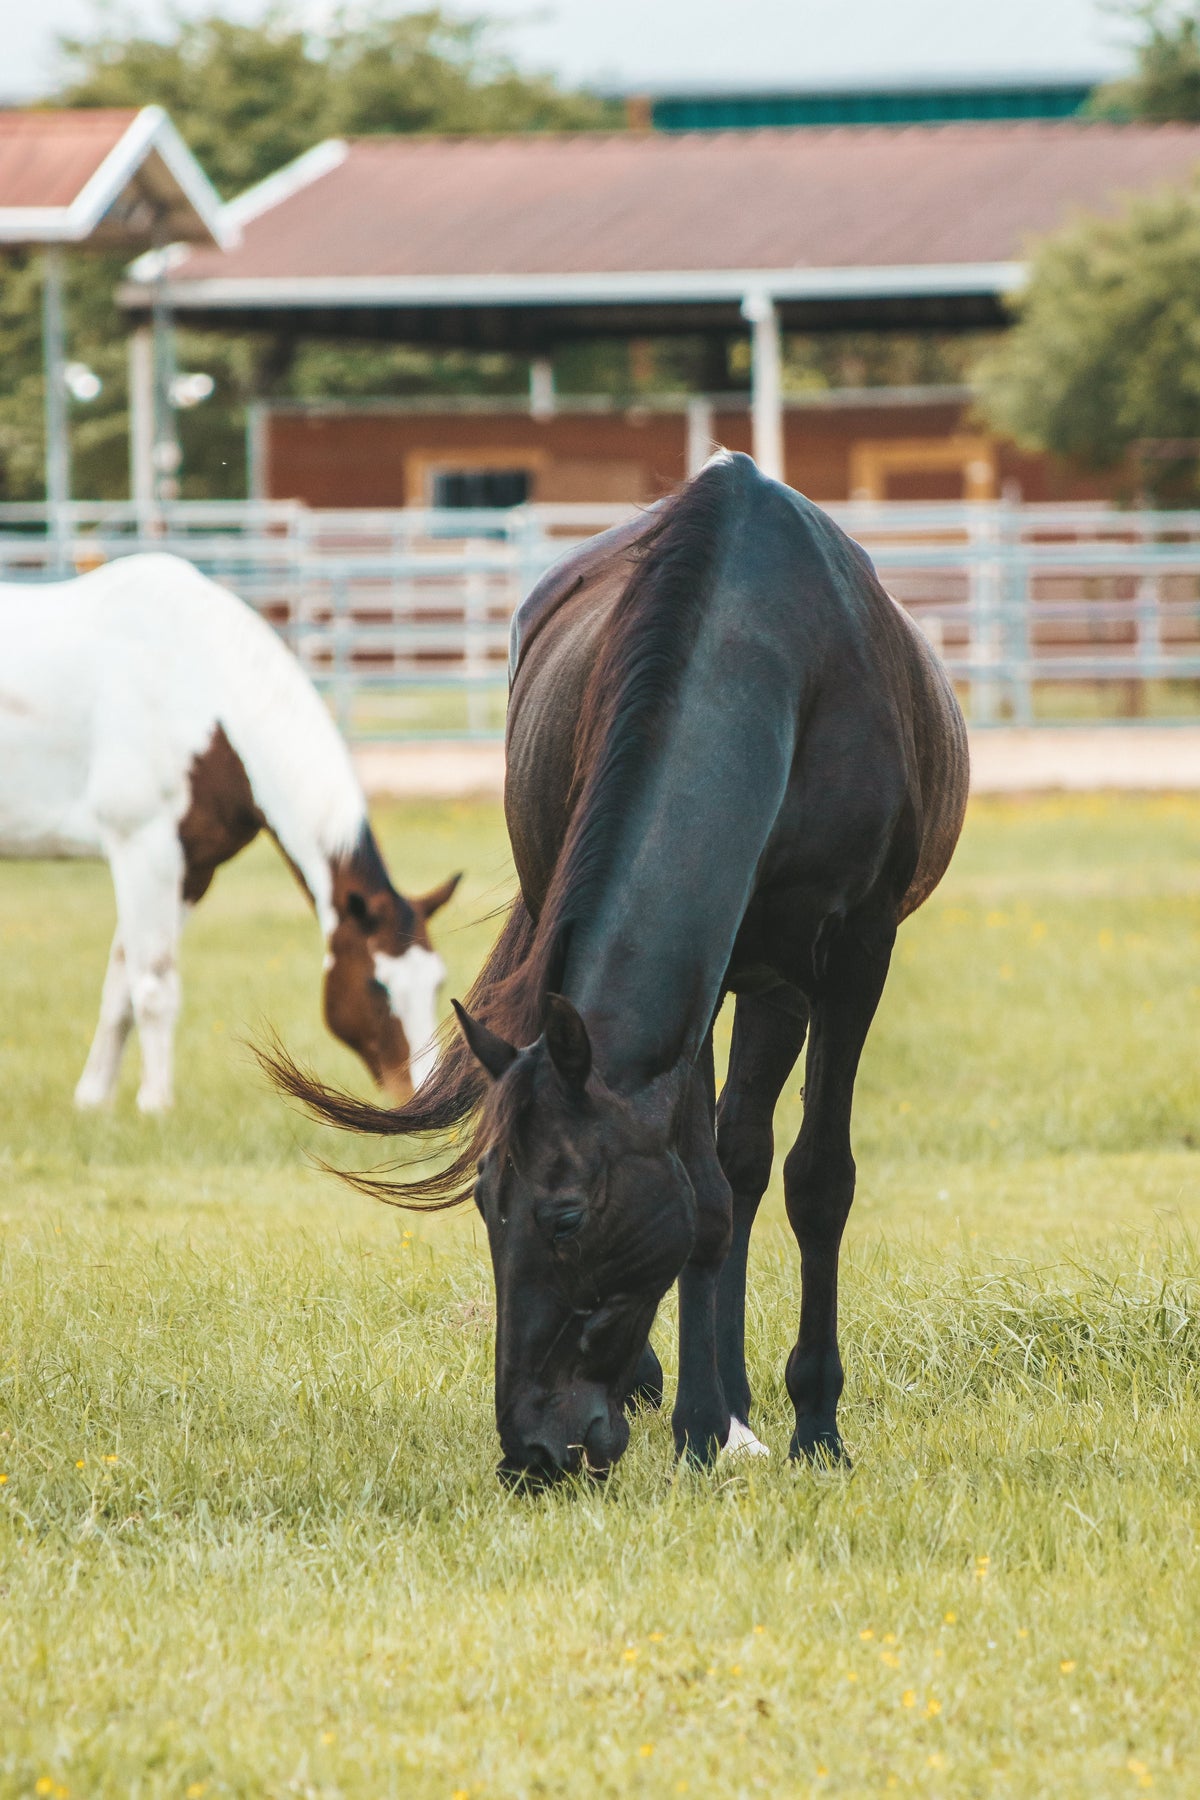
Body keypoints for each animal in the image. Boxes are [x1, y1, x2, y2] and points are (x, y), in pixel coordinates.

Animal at [0, 552, 460, 1113]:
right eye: (378, 986)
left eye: (435, 983)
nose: (422, 1094)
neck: (201, 693)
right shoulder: (143, 850)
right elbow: (153, 987)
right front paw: (155, 1106)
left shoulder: (191, 869)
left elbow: (121, 986)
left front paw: (93, 1102)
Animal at [270, 454, 968, 1484]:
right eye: (485, 1208)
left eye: (564, 1218)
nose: (531, 1450)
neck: (766, 658)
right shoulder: (705, 981)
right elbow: (703, 1193)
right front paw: (703, 1424)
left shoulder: (852, 959)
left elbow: (815, 1180)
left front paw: (814, 1425)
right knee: (726, 1162)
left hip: (782, 987)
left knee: (751, 1154)